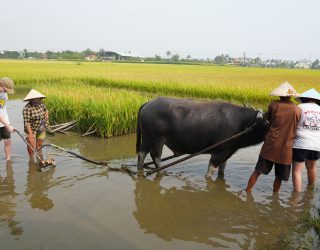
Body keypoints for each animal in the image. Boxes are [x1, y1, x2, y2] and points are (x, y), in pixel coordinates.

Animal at [136, 96, 268, 177]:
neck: (243, 122)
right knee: (156, 156)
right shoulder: (218, 152)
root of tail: (147, 104)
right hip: (156, 140)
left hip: (147, 138)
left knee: (142, 154)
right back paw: (161, 171)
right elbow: (210, 172)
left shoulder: (227, 152)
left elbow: (221, 171)